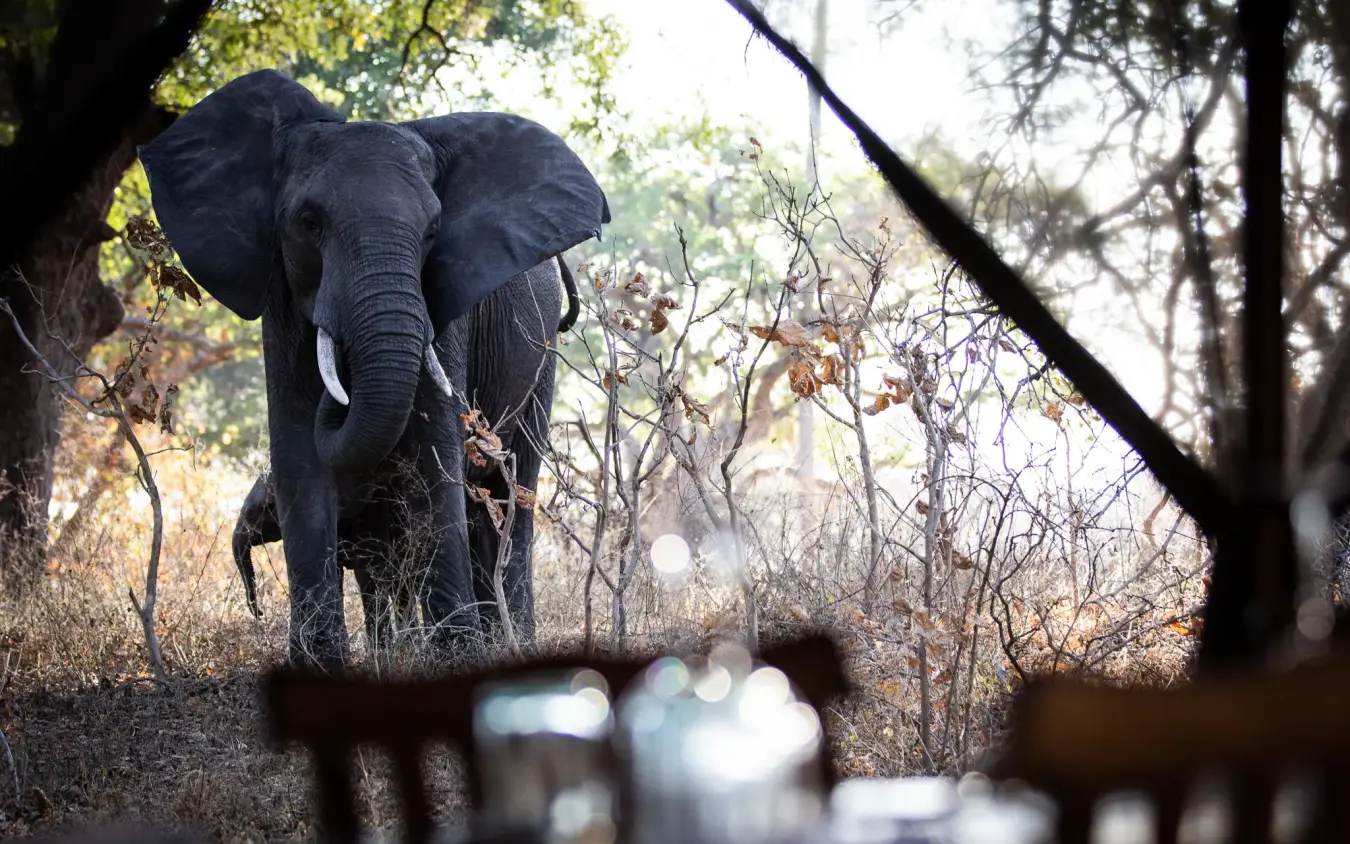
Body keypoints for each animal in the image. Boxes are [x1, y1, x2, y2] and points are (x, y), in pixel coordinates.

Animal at [140, 69, 609, 672]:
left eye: (433, 231)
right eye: (308, 222)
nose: (340, 385)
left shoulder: (444, 310)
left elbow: (436, 451)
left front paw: (456, 658)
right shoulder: (281, 298)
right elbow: (299, 455)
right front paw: (319, 666)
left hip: (542, 348)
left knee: (511, 487)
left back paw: (511, 644)